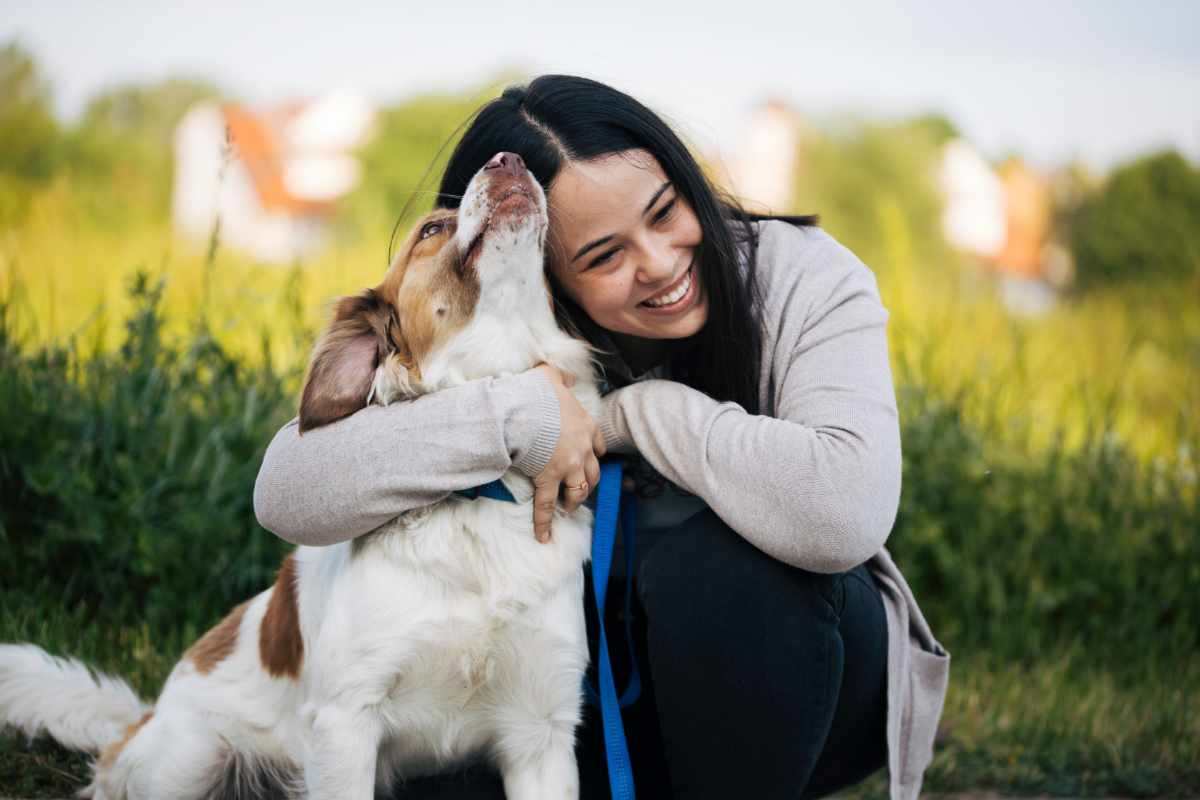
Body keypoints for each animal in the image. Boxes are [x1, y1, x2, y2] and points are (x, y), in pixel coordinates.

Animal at [0, 151, 600, 800]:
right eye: (431, 231)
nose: (509, 160)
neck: (476, 497)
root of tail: (142, 719)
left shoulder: (541, 732)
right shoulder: (345, 722)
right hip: (188, 758)